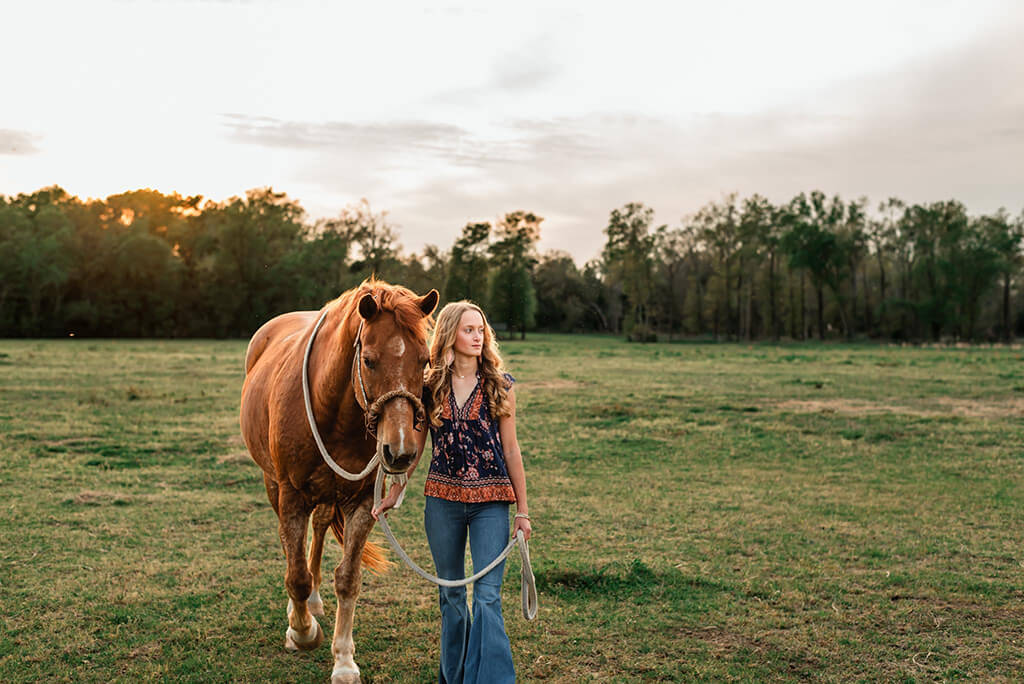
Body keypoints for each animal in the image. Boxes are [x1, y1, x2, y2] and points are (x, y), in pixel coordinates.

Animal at [240, 280, 438, 683]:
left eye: (425, 361)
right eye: (369, 360)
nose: (400, 451)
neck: (332, 410)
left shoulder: (361, 502)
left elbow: (348, 578)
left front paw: (344, 660)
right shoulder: (291, 496)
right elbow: (296, 574)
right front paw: (302, 632)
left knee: (317, 530)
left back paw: (315, 602)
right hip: (274, 485)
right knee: (291, 549)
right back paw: (298, 612)